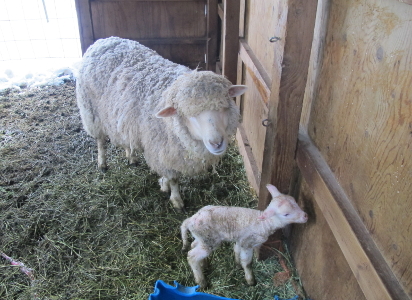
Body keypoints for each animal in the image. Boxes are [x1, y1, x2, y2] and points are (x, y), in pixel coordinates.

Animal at [75, 37, 246, 211]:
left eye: (223, 107)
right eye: (189, 116)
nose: (217, 143)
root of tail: (104, 40)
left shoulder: (164, 151)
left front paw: (163, 184)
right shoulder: (163, 151)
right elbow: (174, 179)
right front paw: (176, 200)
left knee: (126, 139)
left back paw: (131, 157)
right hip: (91, 112)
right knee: (100, 140)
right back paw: (102, 163)